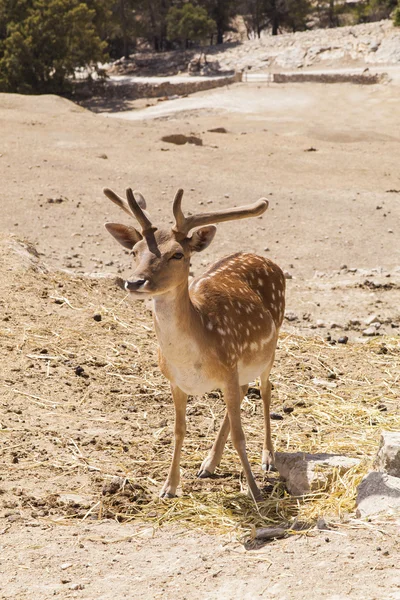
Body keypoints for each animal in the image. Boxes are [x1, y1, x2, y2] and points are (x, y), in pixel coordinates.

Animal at [103, 186, 284, 502]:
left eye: (178, 254)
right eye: (134, 251)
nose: (134, 282)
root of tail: (264, 258)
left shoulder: (228, 369)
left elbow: (240, 436)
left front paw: (255, 492)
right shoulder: (176, 382)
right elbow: (179, 430)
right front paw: (168, 487)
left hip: (269, 350)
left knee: (265, 390)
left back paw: (268, 457)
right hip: (242, 368)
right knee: (245, 391)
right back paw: (208, 464)